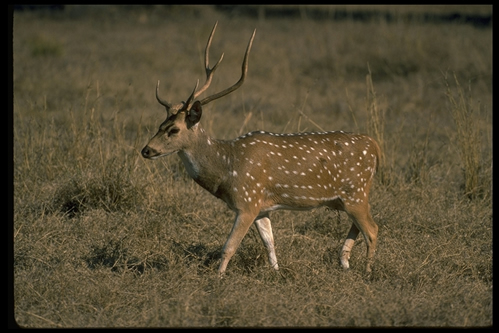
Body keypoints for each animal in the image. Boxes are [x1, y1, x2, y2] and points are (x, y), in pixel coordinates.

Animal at [143, 23, 380, 276]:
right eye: (160, 125)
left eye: (174, 129)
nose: (146, 150)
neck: (227, 167)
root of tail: (374, 146)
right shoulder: (262, 206)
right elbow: (269, 243)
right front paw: (276, 272)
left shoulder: (247, 201)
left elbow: (229, 246)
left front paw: (218, 277)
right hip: (348, 198)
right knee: (358, 227)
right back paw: (344, 262)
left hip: (356, 191)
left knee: (372, 229)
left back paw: (367, 271)